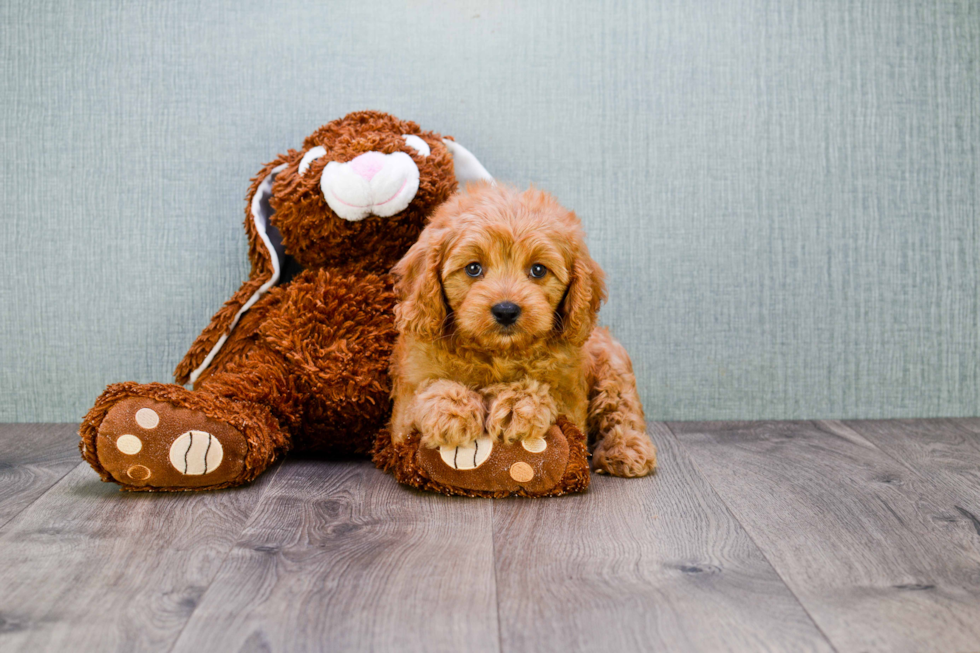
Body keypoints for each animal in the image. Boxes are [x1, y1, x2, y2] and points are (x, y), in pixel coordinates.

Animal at [386, 181, 656, 476]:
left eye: (538, 270)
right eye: (473, 268)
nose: (506, 310)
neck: (497, 353)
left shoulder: (570, 399)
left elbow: (547, 393)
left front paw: (517, 405)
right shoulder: (403, 411)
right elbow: (425, 393)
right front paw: (453, 411)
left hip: (612, 366)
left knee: (622, 409)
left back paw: (626, 450)